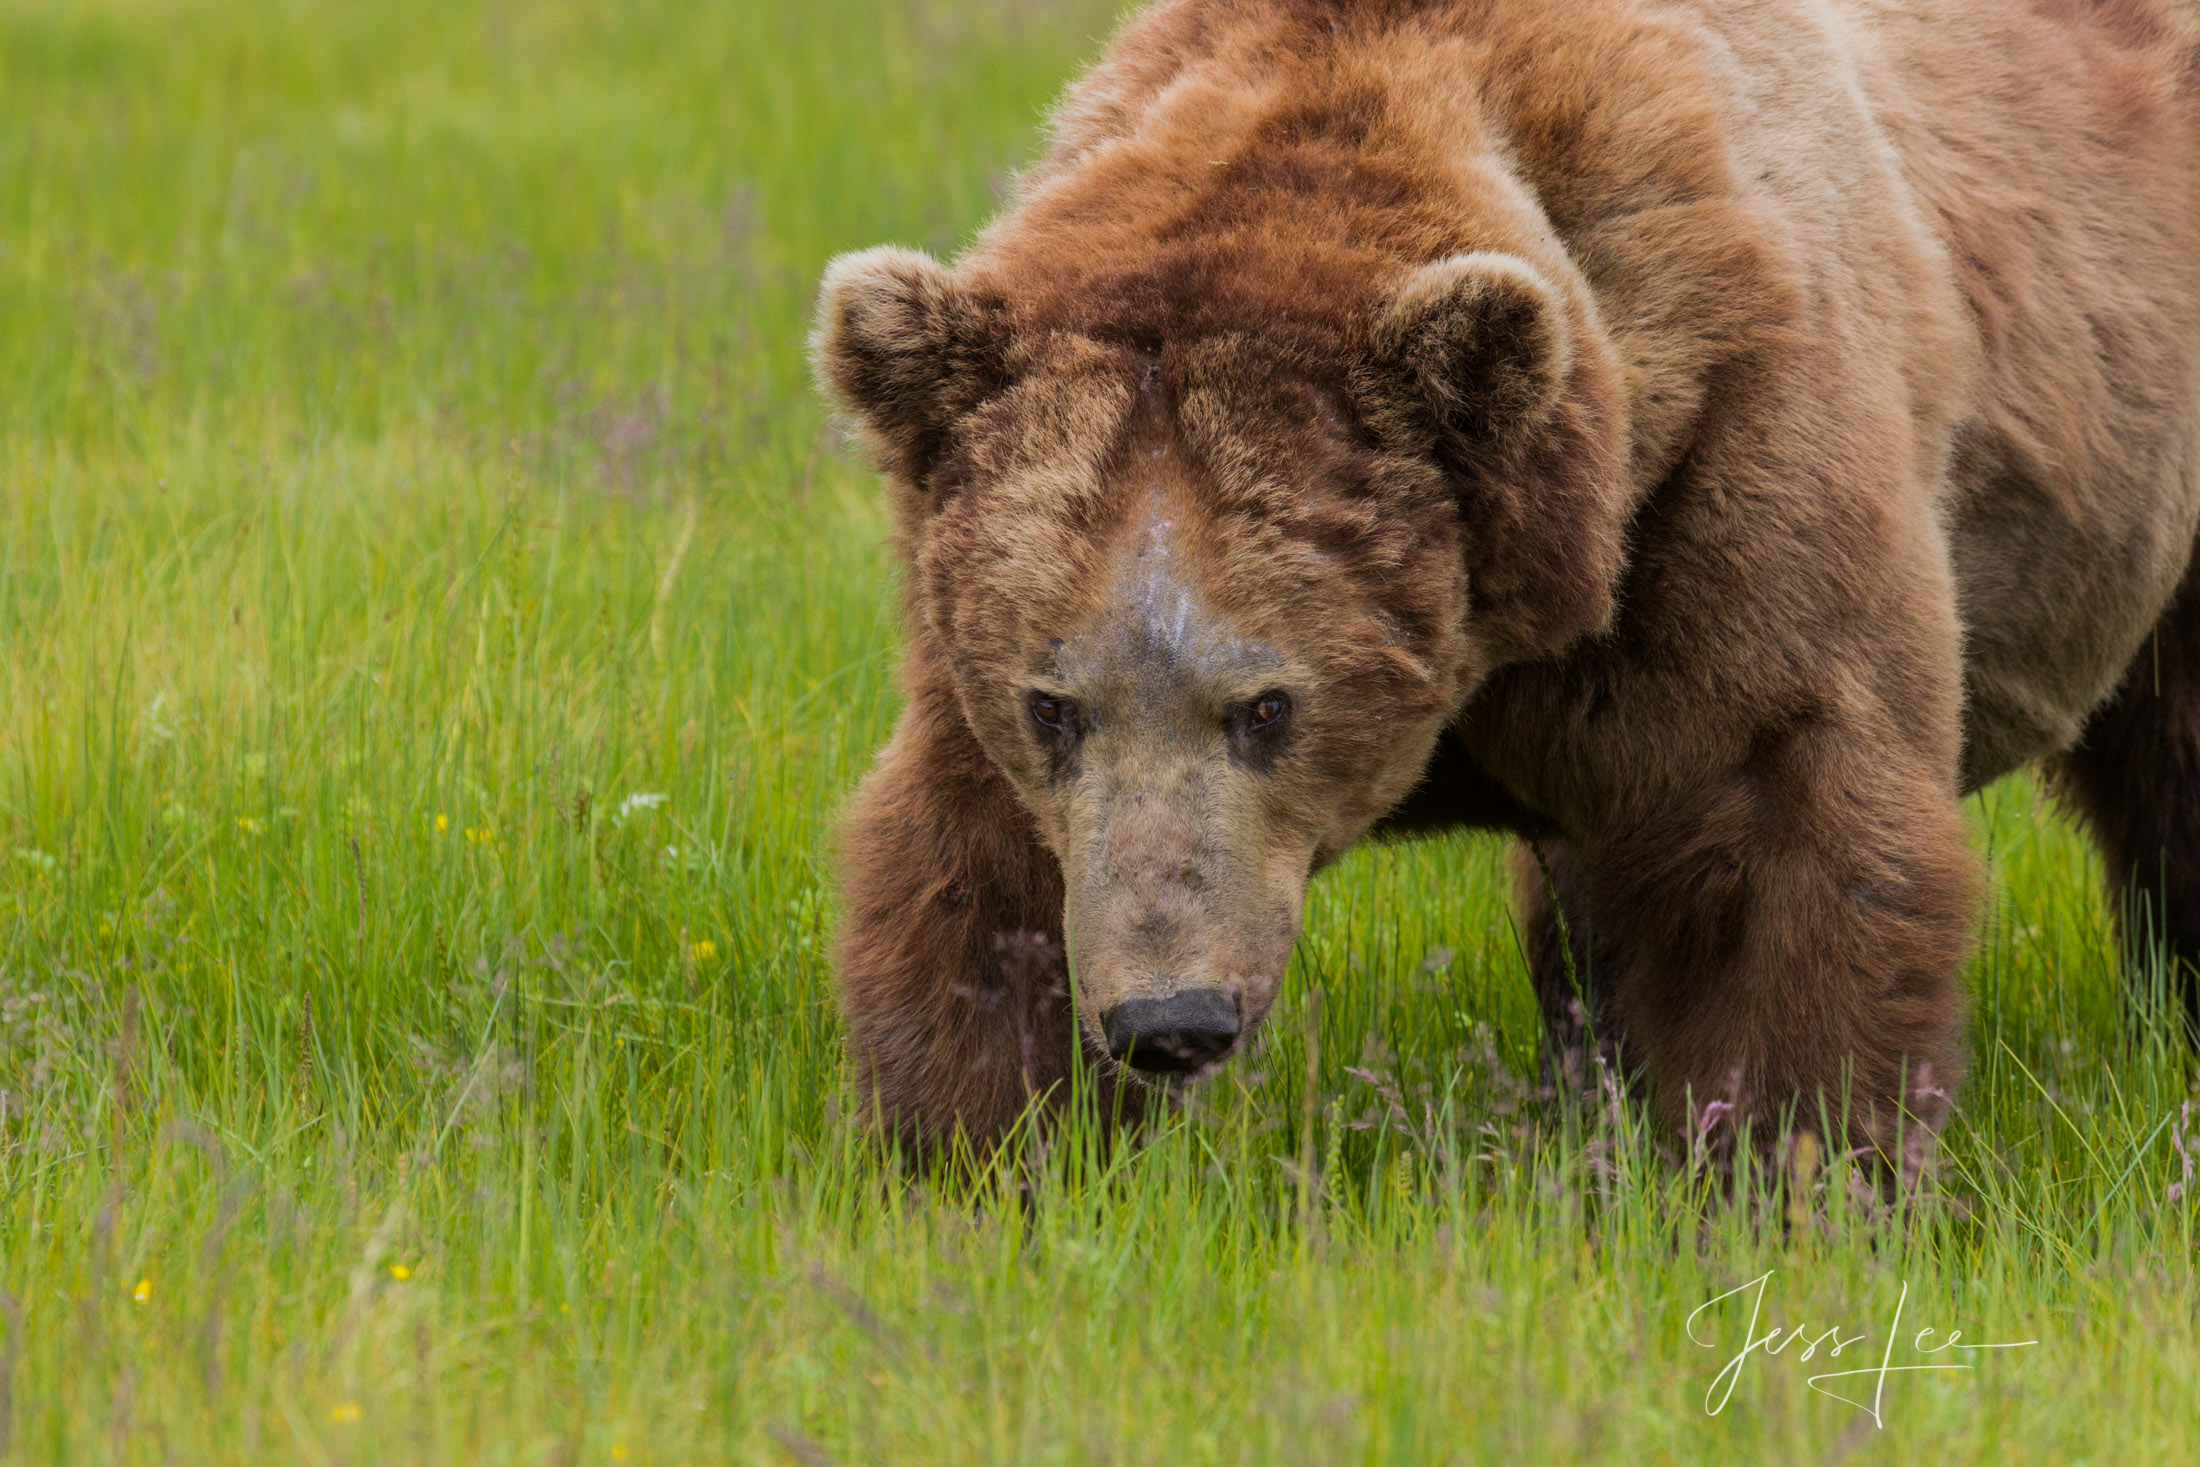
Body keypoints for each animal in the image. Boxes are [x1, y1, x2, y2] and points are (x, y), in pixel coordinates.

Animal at [814, 0, 2200, 1161]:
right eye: (1053, 706)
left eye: (1268, 705)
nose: (1172, 1017)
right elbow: (975, 877)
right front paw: (985, 1153)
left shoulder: (1730, 476)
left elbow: (1781, 829)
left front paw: (1788, 1163)